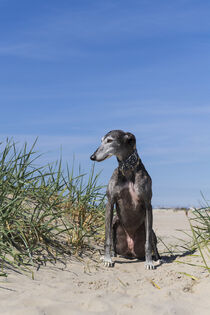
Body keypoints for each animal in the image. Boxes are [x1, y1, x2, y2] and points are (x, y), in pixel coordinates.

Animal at [89, 130, 160, 270]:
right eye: (102, 140)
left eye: (109, 140)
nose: (92, 157)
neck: (127, 170)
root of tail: (131, 252)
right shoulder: (110, 201)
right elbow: (107, 239)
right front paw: (107, 259)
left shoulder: (148, 204)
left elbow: (148, 242)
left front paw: (149, 262)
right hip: (115, 222)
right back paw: (111, 255)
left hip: (151, 231)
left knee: (153, 243)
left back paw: (157, 259)